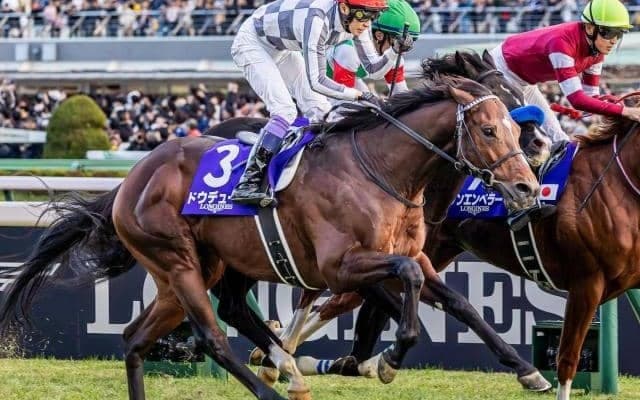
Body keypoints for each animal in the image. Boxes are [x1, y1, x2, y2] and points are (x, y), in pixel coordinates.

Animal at [0, 76, 539, 400]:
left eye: (516, 129)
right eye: (489, 130)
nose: (527, 188)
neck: (383, 172)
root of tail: (132, 178)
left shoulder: (412, 257)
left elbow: (458, 304)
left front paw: (525, 369)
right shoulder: (341, 265)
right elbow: (401, 289)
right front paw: (388, 358)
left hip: (206, 268)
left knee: (141, 336)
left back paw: (283, 364)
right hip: (178, 262)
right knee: (213, 336)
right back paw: (275, 383)